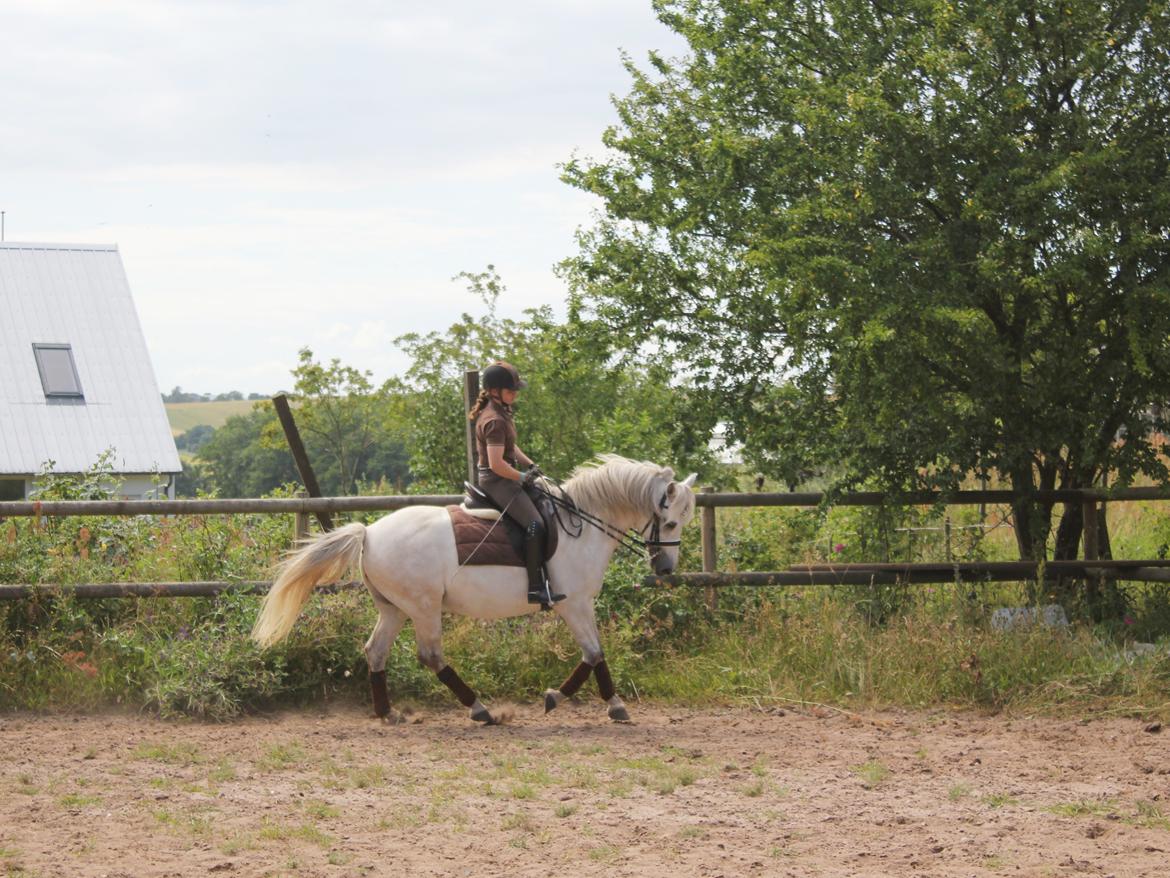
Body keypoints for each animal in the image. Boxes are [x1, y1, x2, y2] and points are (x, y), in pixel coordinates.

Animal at [253, 456, 692, 725]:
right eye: (670, 522)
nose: (665, 569)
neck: (581, 525)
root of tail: (369, 533)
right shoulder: (575, 604)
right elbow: (595, 652)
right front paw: (609, 704)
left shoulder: (579, 605)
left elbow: (592, 654)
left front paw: (559, 697)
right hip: (424, 608)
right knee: (430, 656)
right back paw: (480, 710)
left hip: (394, 608)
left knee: (375, 651)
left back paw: (388, 714)